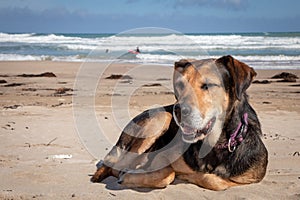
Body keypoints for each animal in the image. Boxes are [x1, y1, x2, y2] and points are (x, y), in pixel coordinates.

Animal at [91, 54, 268, 191]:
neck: (214, 144)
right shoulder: (163, 156)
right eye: (180, 85)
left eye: (208, 85)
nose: (179, 110)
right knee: (114, 164)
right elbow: (168, 174)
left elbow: (213, 180)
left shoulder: (251, 177)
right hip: (162, 116)